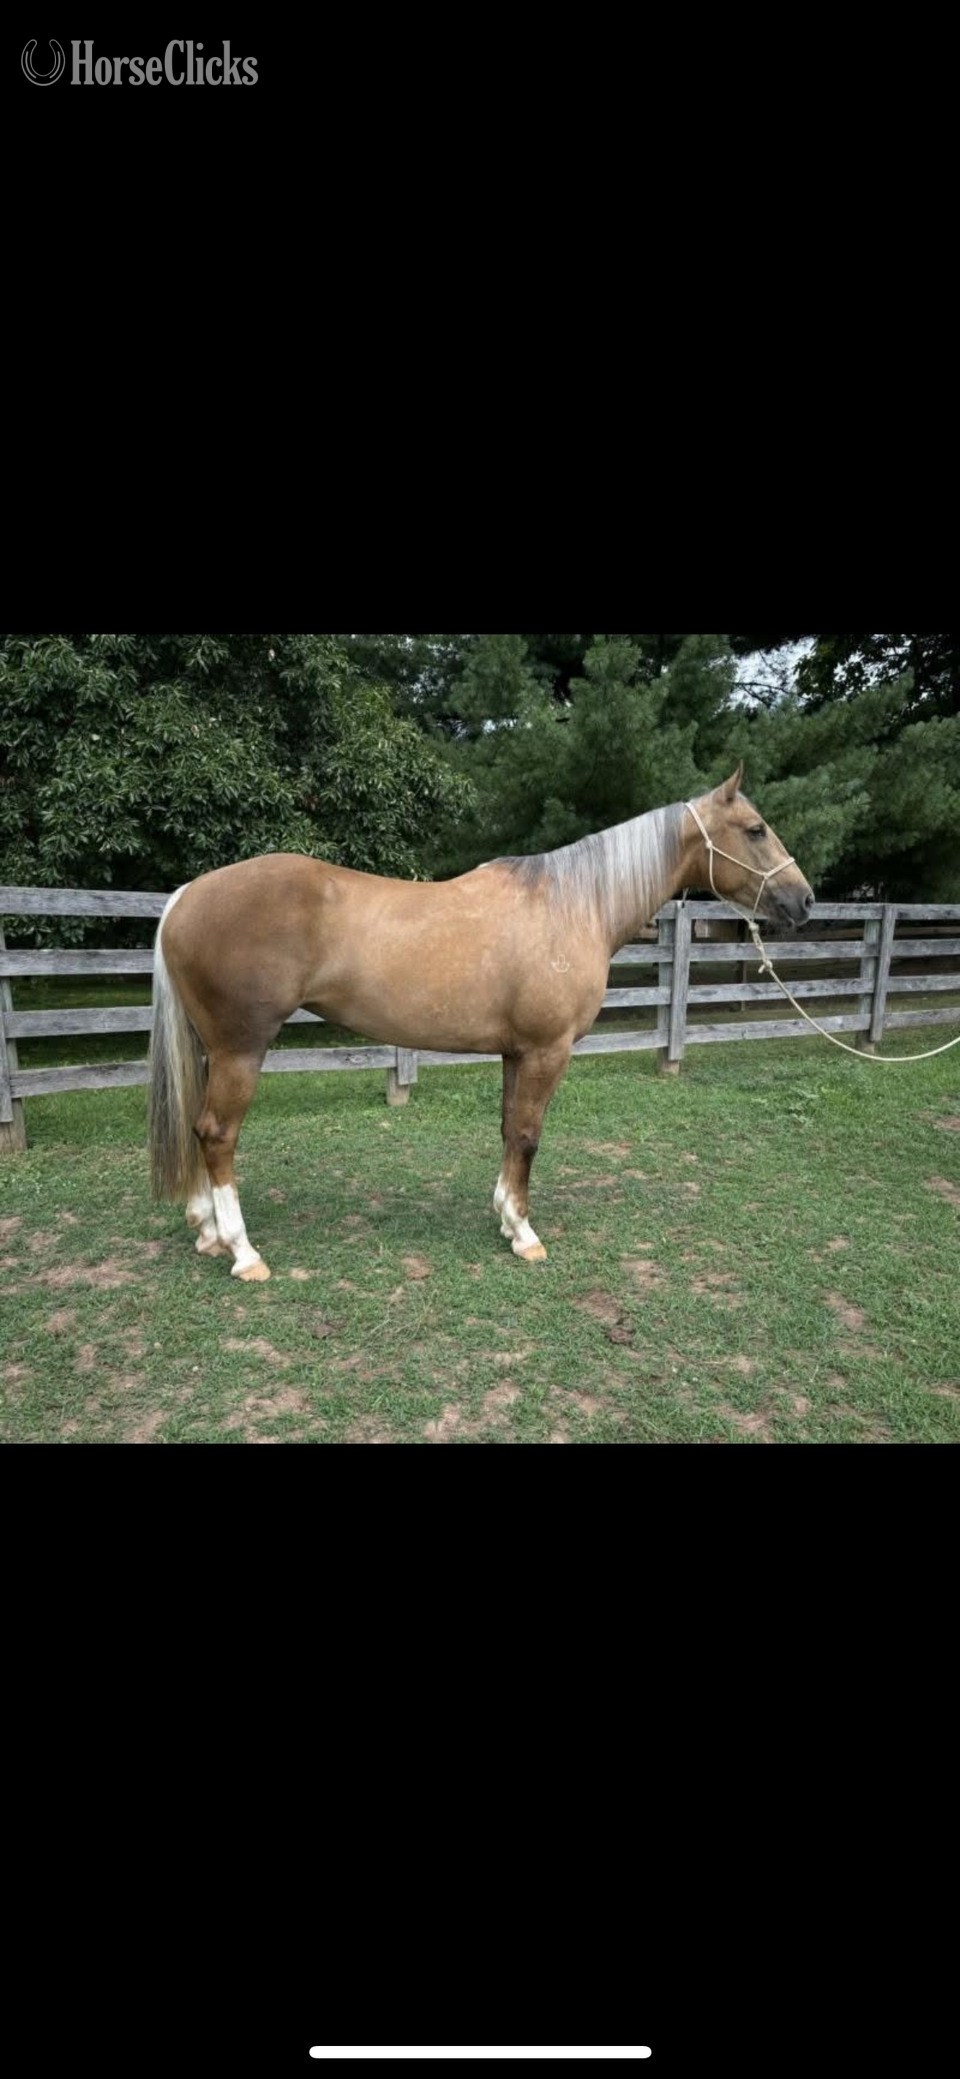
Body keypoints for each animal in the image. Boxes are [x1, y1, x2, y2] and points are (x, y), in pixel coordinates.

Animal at [147, 763, 814, 1281]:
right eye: (756, 830)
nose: (804, 900)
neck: (573, 905)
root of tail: (185, 896)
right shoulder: (547, 1051)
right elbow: (528, 1135)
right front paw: (525, 1234)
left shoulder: (517, 1053)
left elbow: (507, 1130)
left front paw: (504, 1219)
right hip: (241, 1049)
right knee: (217, 1133)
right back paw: (243, 1252)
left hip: (211, 1049)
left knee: (199, 1128)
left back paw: (207, 1230)